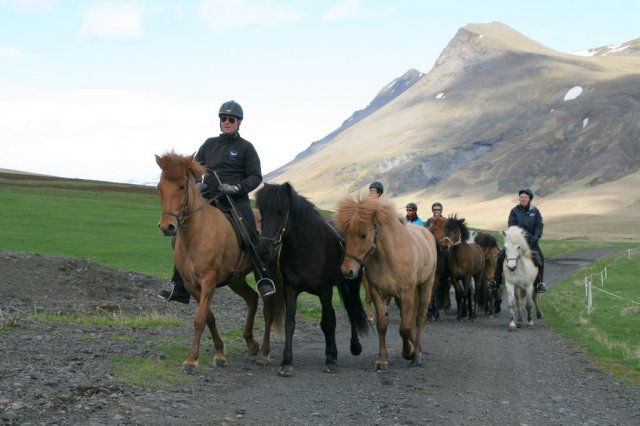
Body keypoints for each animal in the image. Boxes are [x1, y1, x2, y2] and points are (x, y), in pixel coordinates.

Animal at [154, 152, 284, 372]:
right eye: (160, 187)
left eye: (182, 186)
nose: (167, 227)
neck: (196, 233)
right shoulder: (191, 284)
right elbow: (209, 317)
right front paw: (220, 354)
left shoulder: (209, 280)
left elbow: (199, 319)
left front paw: (191, 360)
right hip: (236, 279)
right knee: (251, 299)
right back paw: (251, 343)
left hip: (268, 273)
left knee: (268, 310)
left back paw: (264, 353)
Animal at [252, 182, 368, 376]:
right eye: (262, 212)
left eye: (282, 212)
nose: (263, 250)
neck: (307, 248)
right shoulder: (290, 289)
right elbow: (290, 324)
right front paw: (287, 362)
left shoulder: (325, 291)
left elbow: (327, 322)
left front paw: (329, 361)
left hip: (350, 283)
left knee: (351, 309)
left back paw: (355, 347)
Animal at [332, 198, 438, 372]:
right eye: (344, 238)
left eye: (363, 235)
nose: (347, 271)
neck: (389, 257)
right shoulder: (377, 293)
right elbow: (382, 325)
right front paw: (382, 360)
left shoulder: (407, 293)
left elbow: (404, 328)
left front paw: (408, 352)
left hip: (425, 287)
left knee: (419, 319)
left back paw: (417, 353)